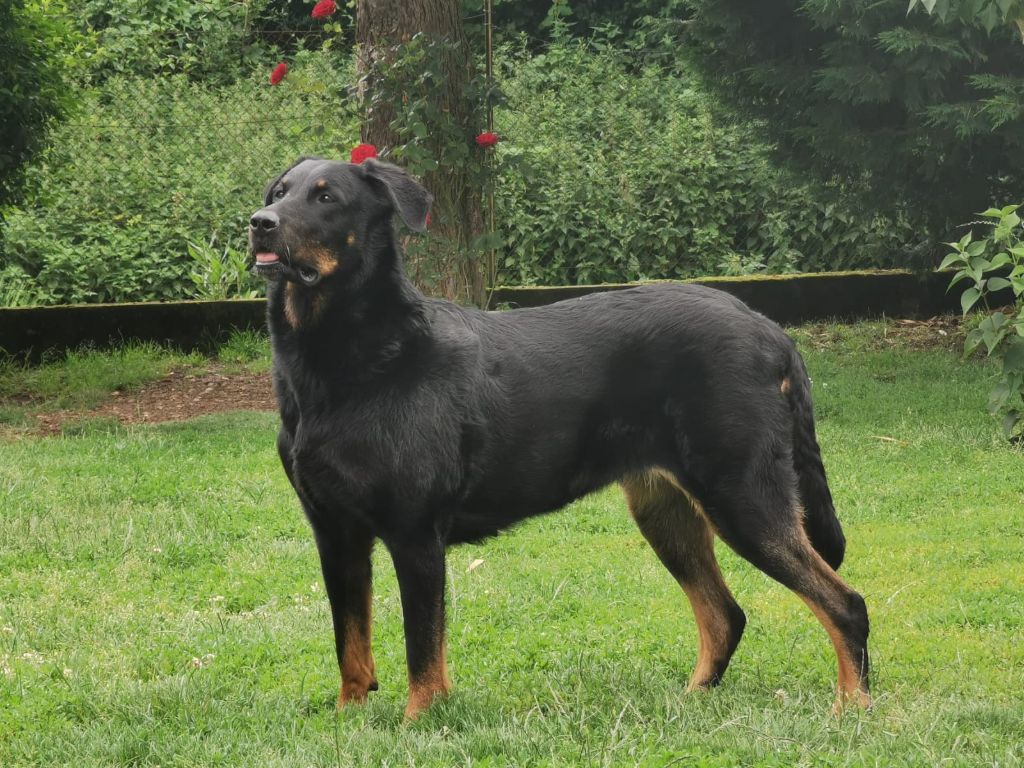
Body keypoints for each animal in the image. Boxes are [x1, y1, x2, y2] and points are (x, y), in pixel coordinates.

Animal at [249, 156, 872, 720]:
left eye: (326, 198)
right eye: (279, 192)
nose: (260, 222)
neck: (346, 359)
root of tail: (772, 332)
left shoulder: (415, 533)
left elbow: (423, 652)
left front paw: (417, 725)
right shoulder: (336, 533)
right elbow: (350, 643)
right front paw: (347, 720)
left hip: (744, 498)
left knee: (845, 603)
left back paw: (852, 708)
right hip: (667, 511)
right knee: (725, 615)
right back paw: (692, 700)